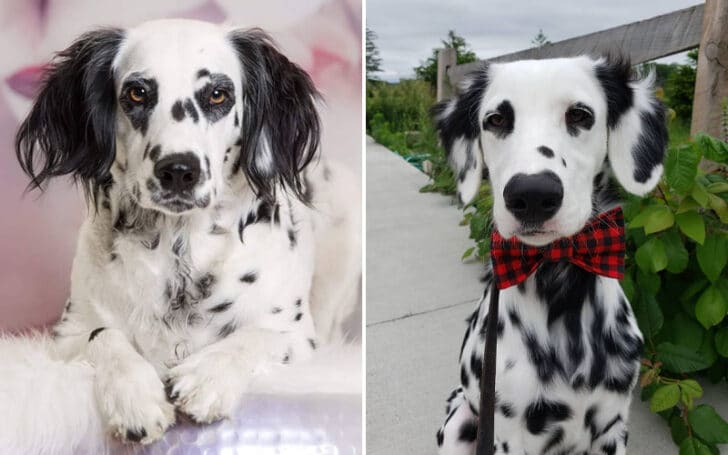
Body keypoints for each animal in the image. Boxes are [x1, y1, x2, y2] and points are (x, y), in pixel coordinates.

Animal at [0, 19, 362, 454]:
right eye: (137, 92)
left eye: (218, 94)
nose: (178, 170)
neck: (180, 248)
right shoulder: (68, 333)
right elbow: (103, 335)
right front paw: (134, 397)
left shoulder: (298, 337)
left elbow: (254, 336)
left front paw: (207, 378)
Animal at [432, 55, 664, 454]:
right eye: (496, 120)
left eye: (580, 115)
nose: (532, 194)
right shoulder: (509, 435)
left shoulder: (613, 426)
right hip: (459, 421)